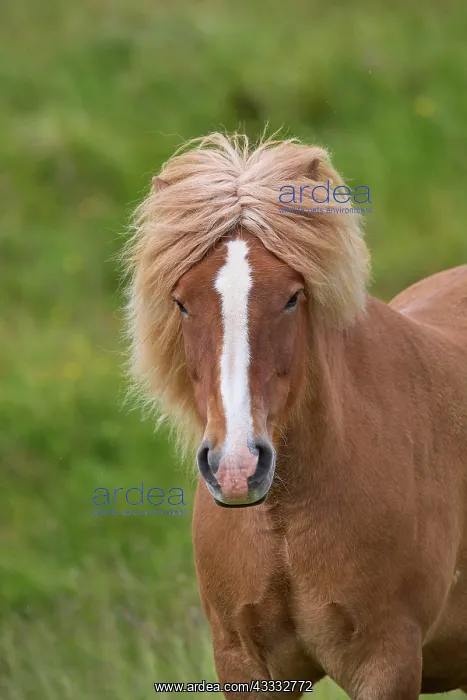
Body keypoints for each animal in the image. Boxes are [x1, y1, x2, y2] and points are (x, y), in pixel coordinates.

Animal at [125, 132, 467, 699]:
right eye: (181, 302)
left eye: (292, 297)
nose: (237, 468)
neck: (282, 526)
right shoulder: (245, 663)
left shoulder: (388, 662)